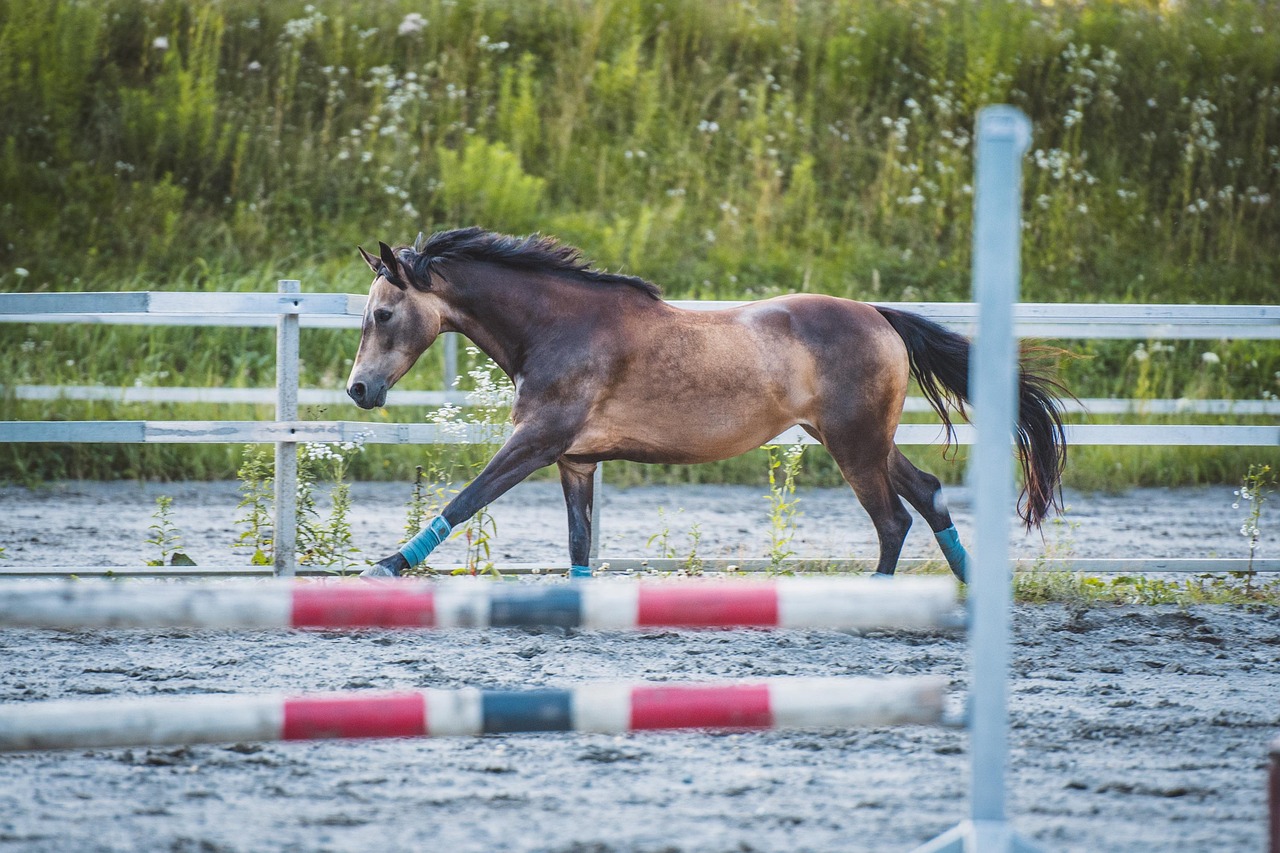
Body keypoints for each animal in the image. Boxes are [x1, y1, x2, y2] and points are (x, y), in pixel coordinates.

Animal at [347, 227, 1068, 581]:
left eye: (383, 314)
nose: (359, 389)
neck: (560, 327)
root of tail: (880, 316)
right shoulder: (575, 461)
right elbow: (579, 542)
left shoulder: (535, 443)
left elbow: (464, 500)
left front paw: (387, 565)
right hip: (864, 441)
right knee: (931, 494)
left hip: (854, 445)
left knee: (893, 521)